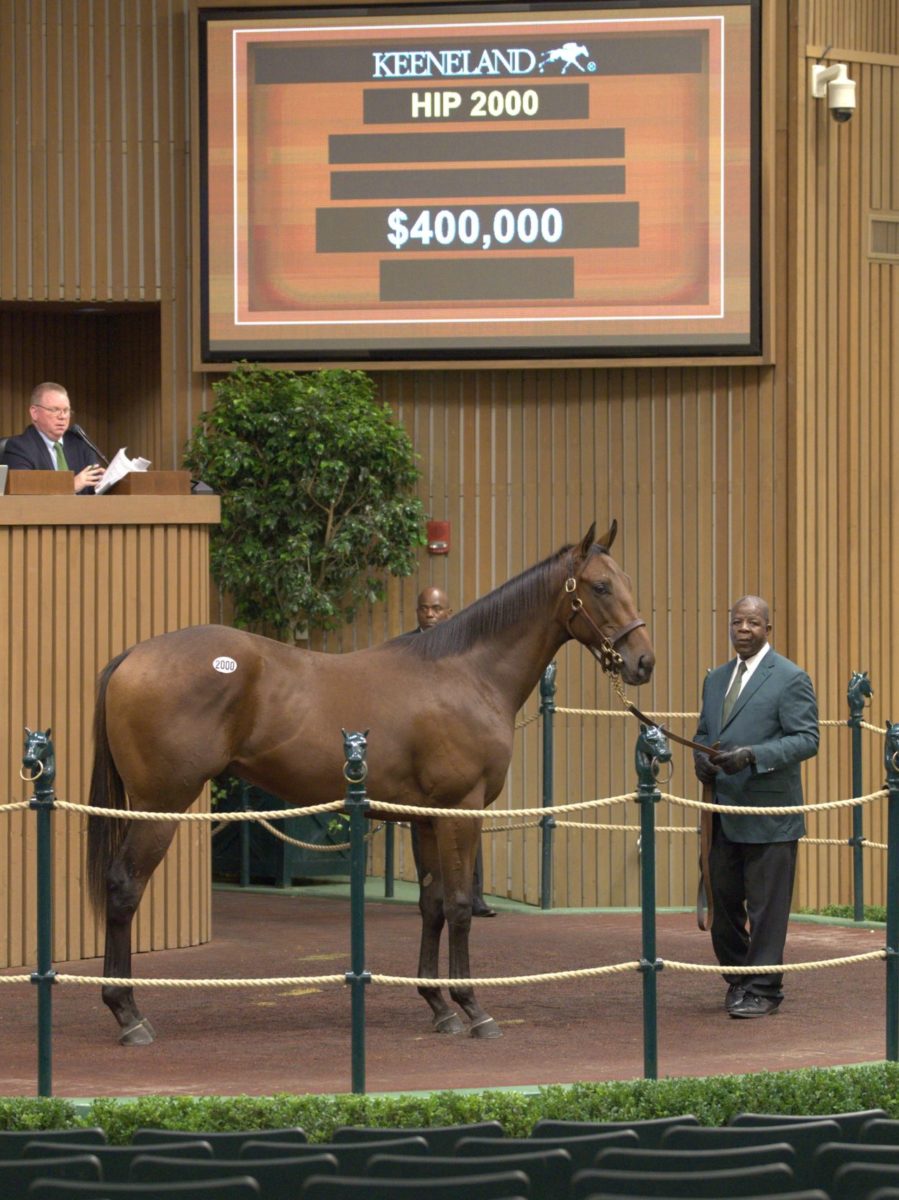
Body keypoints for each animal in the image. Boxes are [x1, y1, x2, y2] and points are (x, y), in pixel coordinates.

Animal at [85, 520, 652, 1046]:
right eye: (601, 586)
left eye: (627, 580)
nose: (644, 661)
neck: (468, 674)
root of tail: (133, 656)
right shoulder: (460, 811)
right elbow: (460, 907)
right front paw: (473, 1008)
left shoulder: (427, 819)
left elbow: (432, 905)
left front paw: (439, 1006)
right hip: (159, 806)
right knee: (124, 887)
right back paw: (128, 1014)